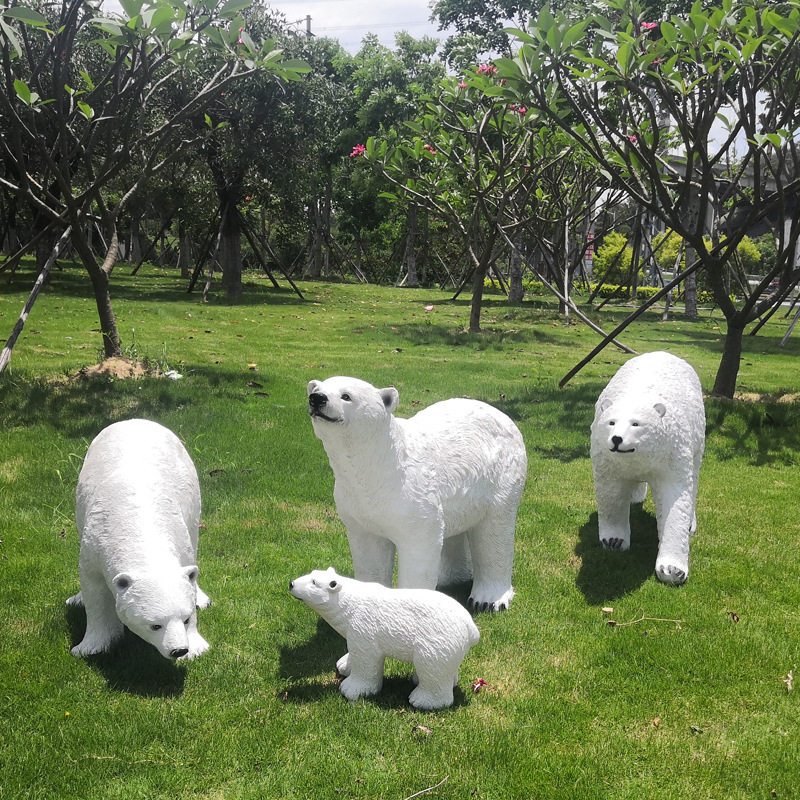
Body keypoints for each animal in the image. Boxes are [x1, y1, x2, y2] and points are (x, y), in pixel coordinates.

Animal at [67, 418, 210, 660]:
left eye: (186, 619)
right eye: (155, 625)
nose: (178, 650)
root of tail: (134, 420)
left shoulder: (180, 538)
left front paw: (196, 647)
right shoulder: (94, 543)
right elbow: (93, 589)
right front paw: (89, 647)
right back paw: (76, 600)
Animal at [289, 568, 480, 710]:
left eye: (314, 582)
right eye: (311, 573)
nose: (291, 584)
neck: (349, 602)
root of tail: (471, 627)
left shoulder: (364, 626)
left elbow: (366, 657)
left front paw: (350, 688)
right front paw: (344, 666)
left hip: (437, 638)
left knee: (431, 665)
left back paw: (421, 700)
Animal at [306, 376, 527, 611]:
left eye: (346, 396)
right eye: (316, 388)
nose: (317, 398)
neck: (381, 463)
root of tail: (504, 416)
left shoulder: (414, 496)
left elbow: (419, 545)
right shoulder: (358, 504)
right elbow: (370, 552)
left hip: (503, 473)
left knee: (495, 529)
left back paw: (488, 600)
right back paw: (447, 578)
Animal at [590, 351, 706, 585]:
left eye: (636, 423)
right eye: (611, 422)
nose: (617, 439)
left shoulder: (672, 453)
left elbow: (675, 499)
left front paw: (672, 569)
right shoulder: (606, 456)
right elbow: (610, 491)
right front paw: (614, 540)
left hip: (698, 438)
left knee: (694, 478)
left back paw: (691, 523)